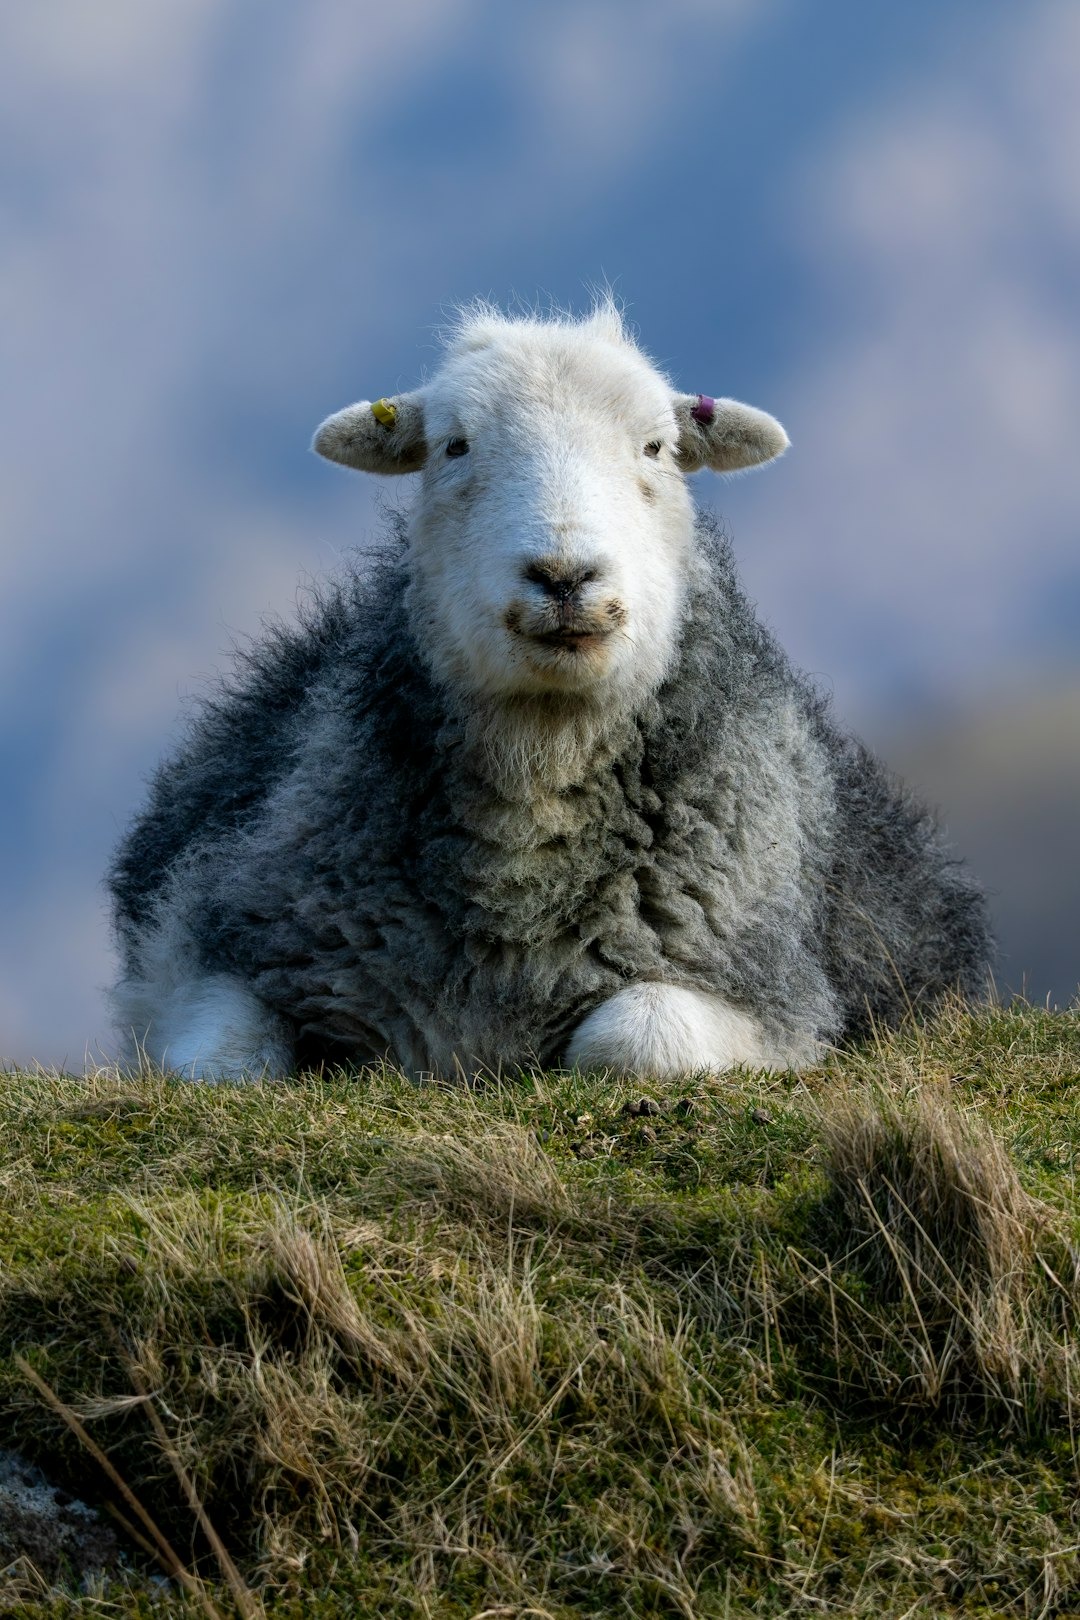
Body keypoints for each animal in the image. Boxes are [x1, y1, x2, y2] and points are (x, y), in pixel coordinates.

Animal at [108, 301, 991, 1081]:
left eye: (657, 447)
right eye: (454, 446)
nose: (565, 577)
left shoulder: (771, 994)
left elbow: (634, 1038)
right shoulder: (223, 947)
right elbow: (219, 1064)